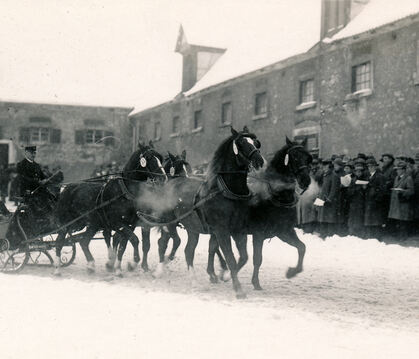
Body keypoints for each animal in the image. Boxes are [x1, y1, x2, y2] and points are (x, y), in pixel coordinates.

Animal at [53, 143, 168, 276]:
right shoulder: (117, 223)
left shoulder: (130, 225)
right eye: (148, 157)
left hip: (92, 224)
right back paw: (57, 269)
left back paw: (91, 265)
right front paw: (133, 263)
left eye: (160, 157)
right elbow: (134, 240)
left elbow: (124, 245)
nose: (163, 178)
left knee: (84, 242)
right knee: (59, 242)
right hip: (66, 224)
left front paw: (118, 268)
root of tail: (66, 188)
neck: (124, 193)